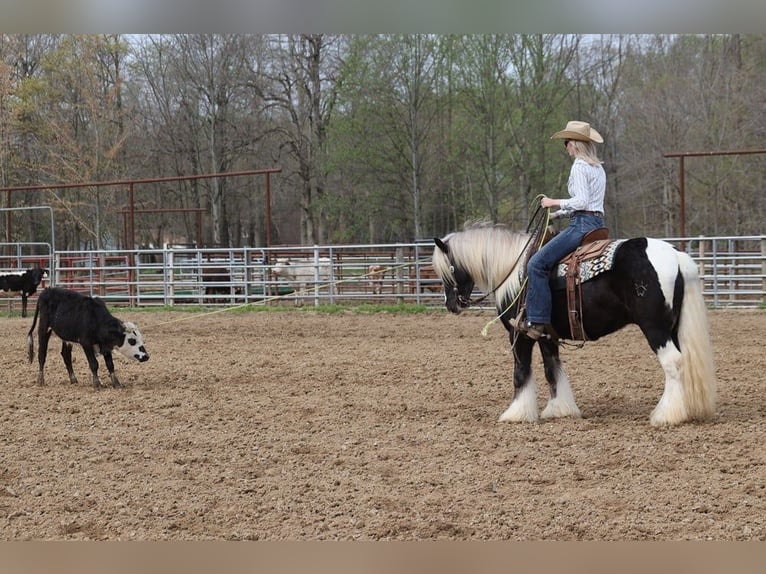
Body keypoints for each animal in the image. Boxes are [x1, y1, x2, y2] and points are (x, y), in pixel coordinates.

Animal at [436, 220, 716, 428]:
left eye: (448, 269)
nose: (452, 304)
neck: (513, 269)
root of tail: (676, 256)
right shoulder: (545, 334)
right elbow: (552, 369)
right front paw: (559, 409)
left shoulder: (519, 334)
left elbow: (521, 371)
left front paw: (516, 413)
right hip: (672, 327)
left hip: (654, 327)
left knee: (672, 362)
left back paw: (666, 415)